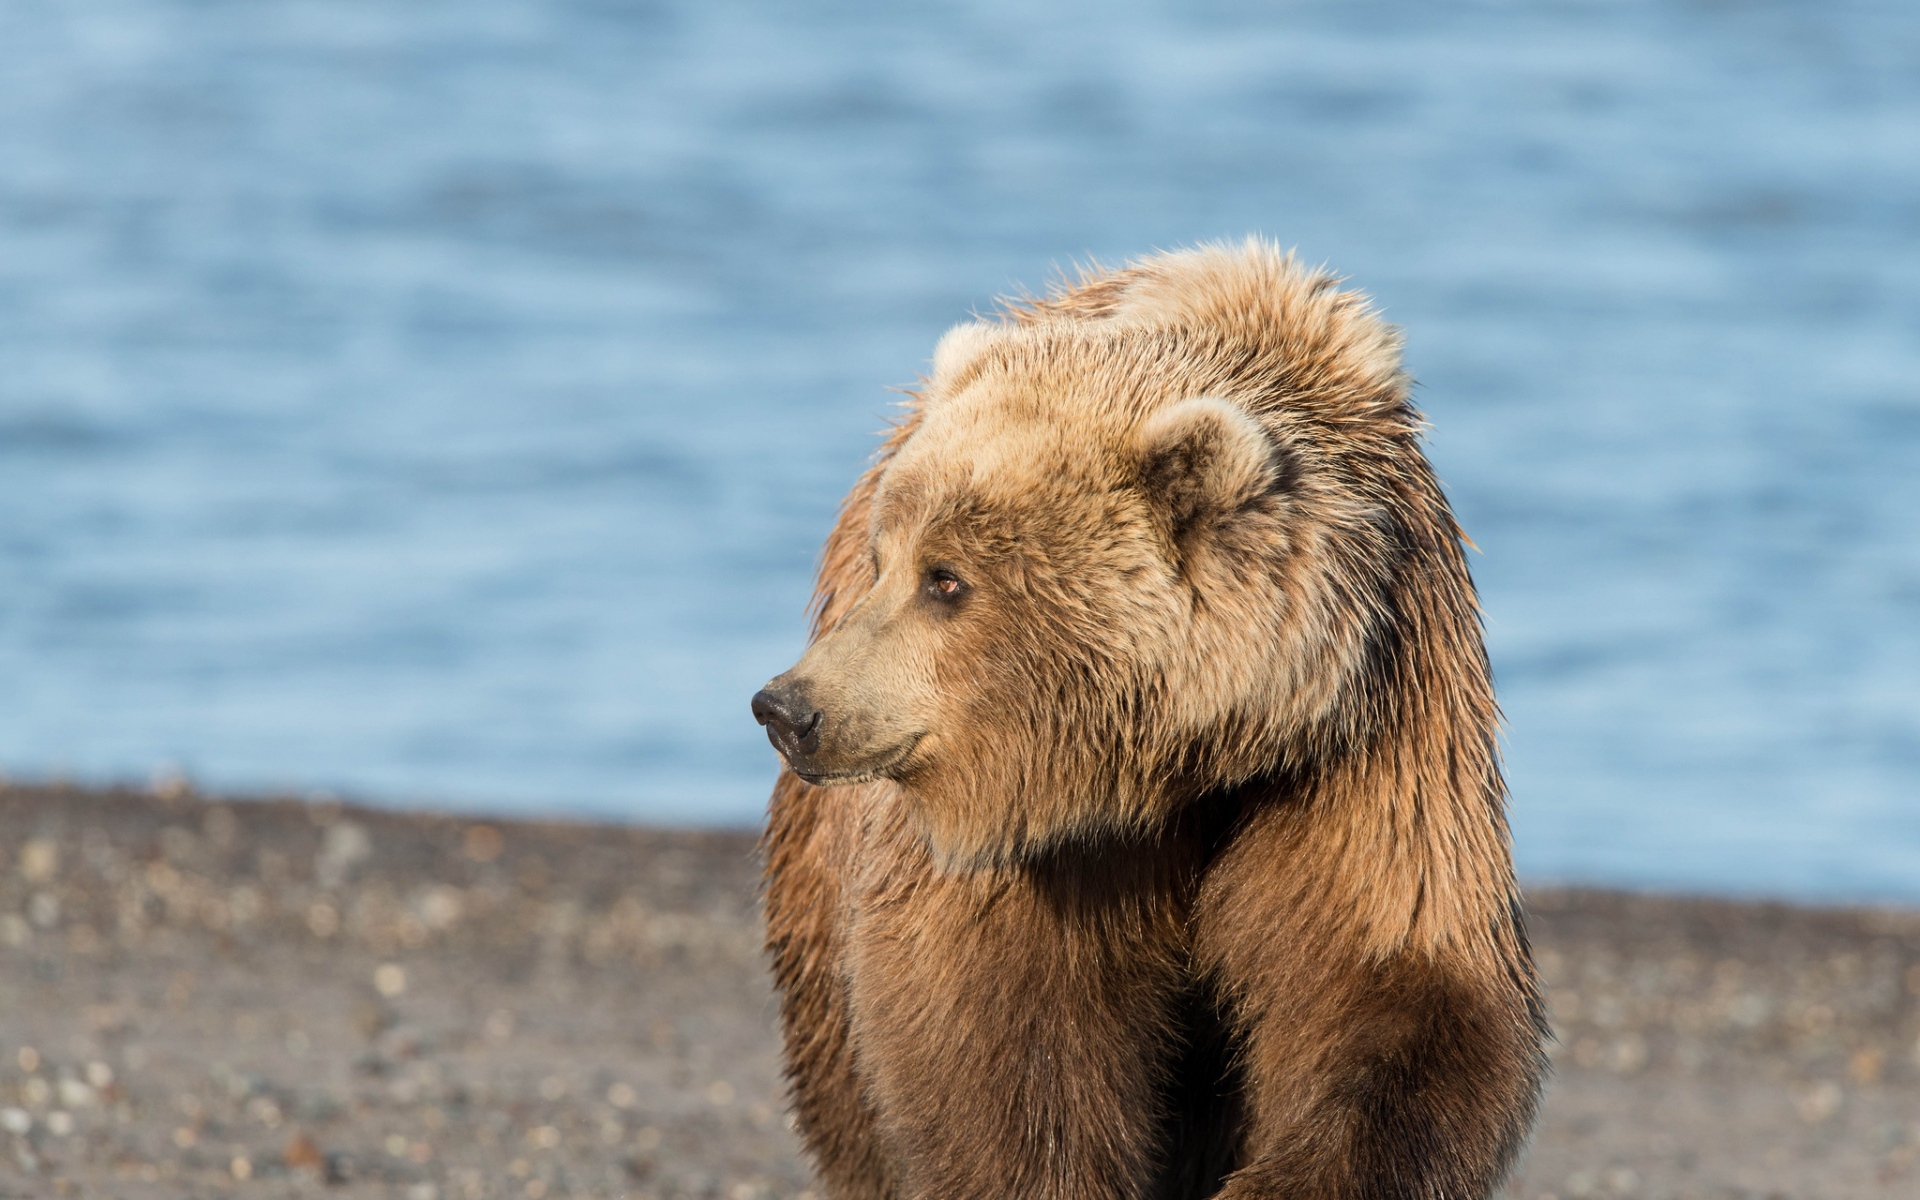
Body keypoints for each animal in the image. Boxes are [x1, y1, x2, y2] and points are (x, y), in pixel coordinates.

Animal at [752, 240, 1546, 1200]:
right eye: (886, 560)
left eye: (946, 579)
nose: (789, 707)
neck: (1188, 755)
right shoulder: (1039, 837)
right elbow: (1002, 1035)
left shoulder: (1368, 734)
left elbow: (1393, 982)